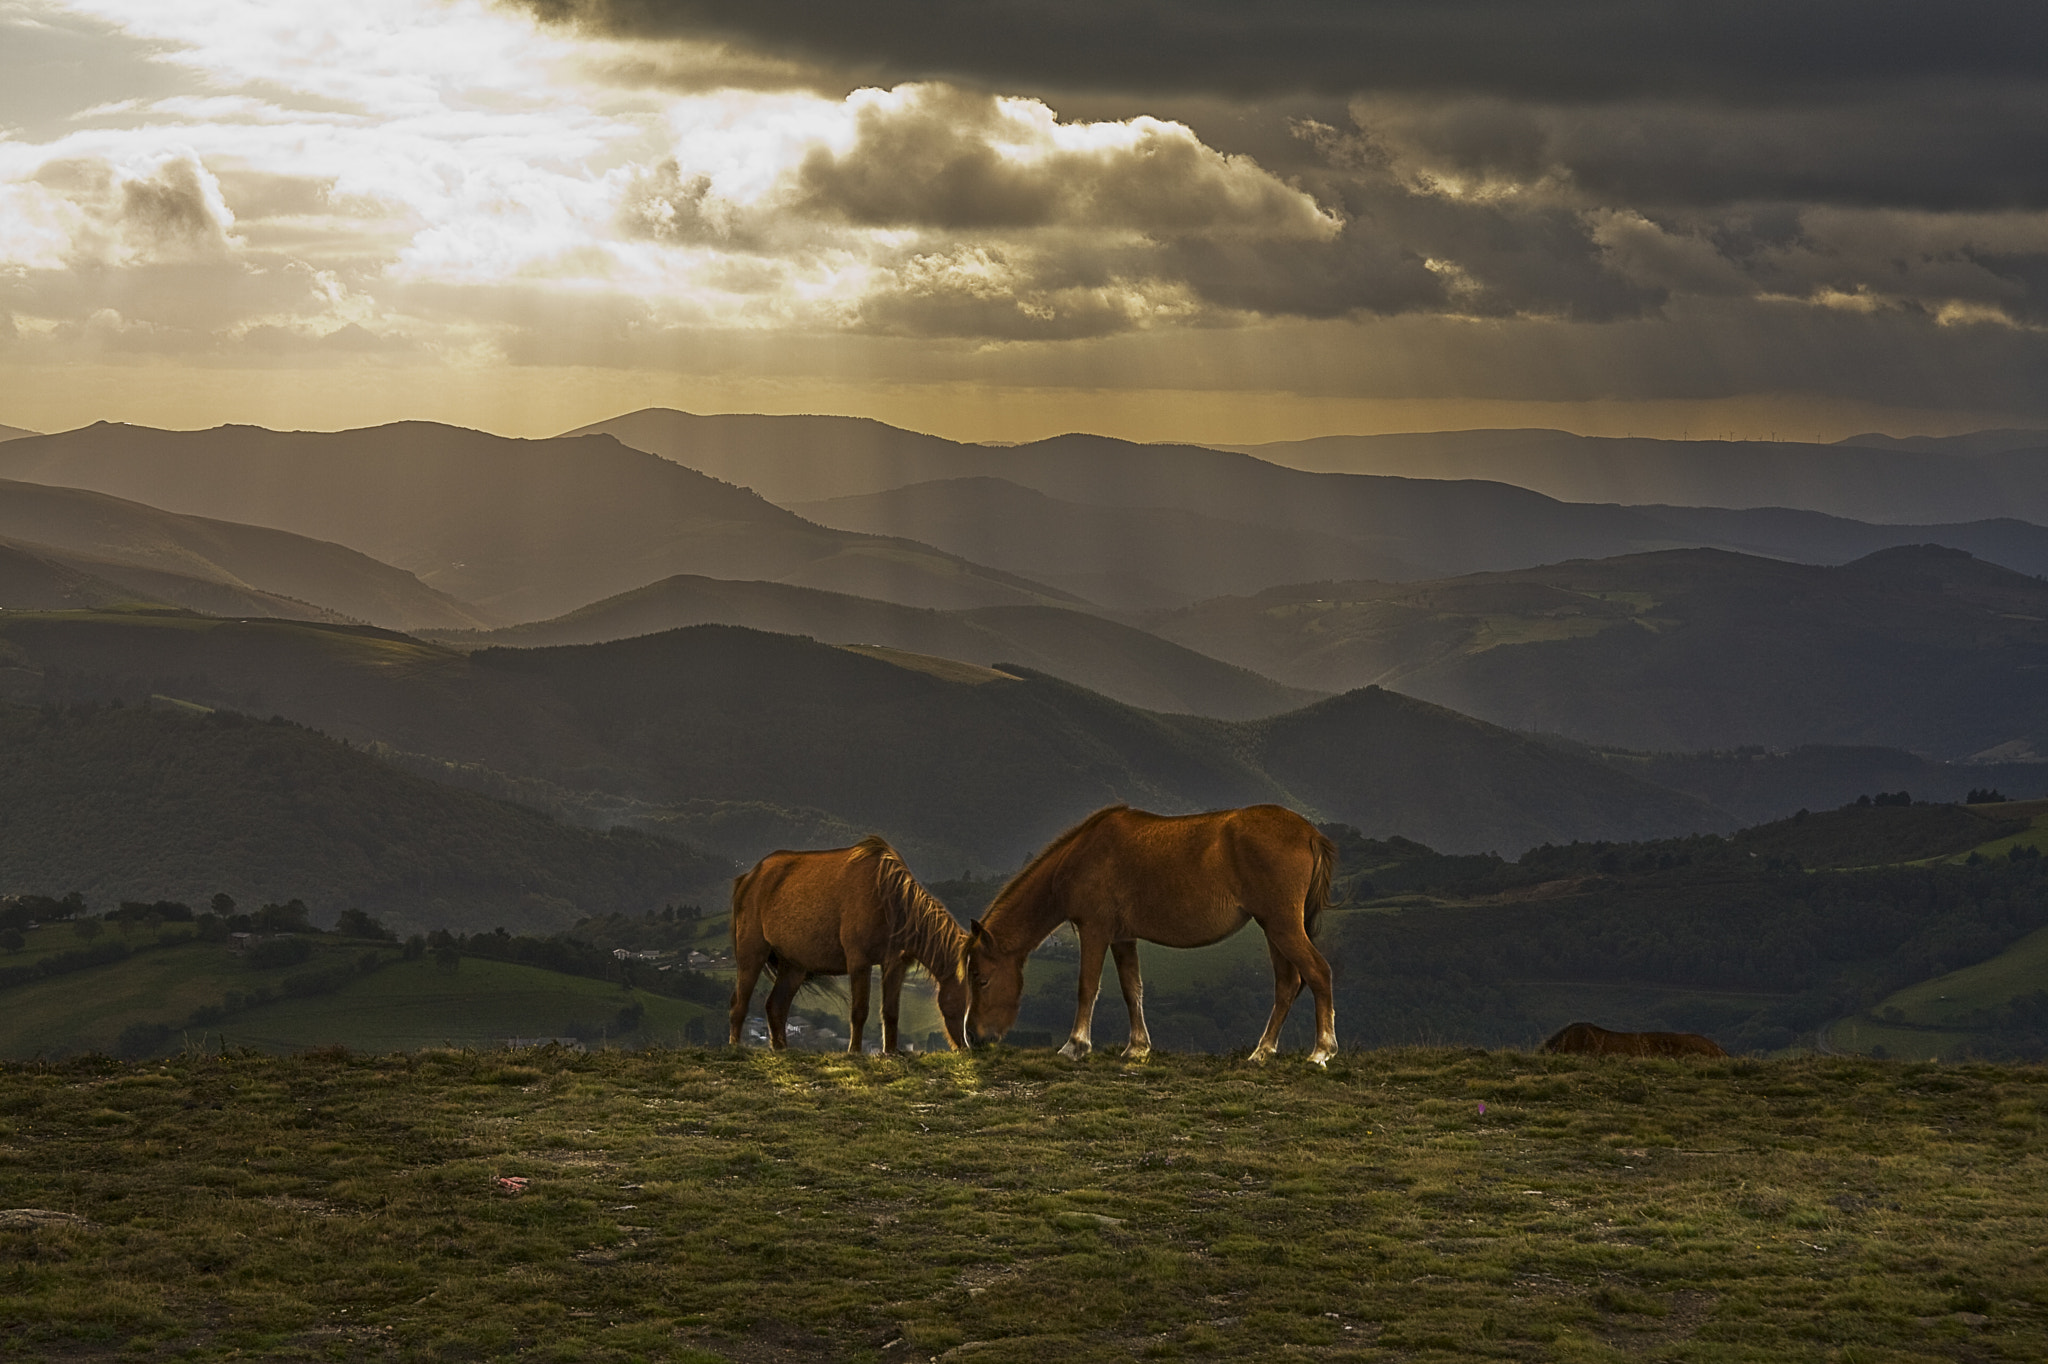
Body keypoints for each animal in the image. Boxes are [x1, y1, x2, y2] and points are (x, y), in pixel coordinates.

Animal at [729, 836, 968, 1053]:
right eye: (961, 1003)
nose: (965, 1047)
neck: (889, 899)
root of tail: (749, 877)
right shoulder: (859, 961)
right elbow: (859, 1011)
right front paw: (854, 1050)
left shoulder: (895, 964)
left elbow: (891, 1012)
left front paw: (891, 1051)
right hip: (752, 953)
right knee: (739, 1004)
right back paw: (736, 1046)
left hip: (793, 966)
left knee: (775, 1007)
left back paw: (781, 1048)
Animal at [964, 804, 1338, 1065]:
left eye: (981, 979)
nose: (974, 1037)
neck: (1080, 856)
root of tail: (1309, 833)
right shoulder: (1122, 938)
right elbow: (1133, 989)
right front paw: (1138, 1047)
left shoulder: (1095, 930)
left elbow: (1087, 987)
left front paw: (1075, 1045)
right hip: (1275, 929)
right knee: (1287, 984)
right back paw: (1262, 1052)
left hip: (1281, 926)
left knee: (1318, 973)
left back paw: (1321, 1050)